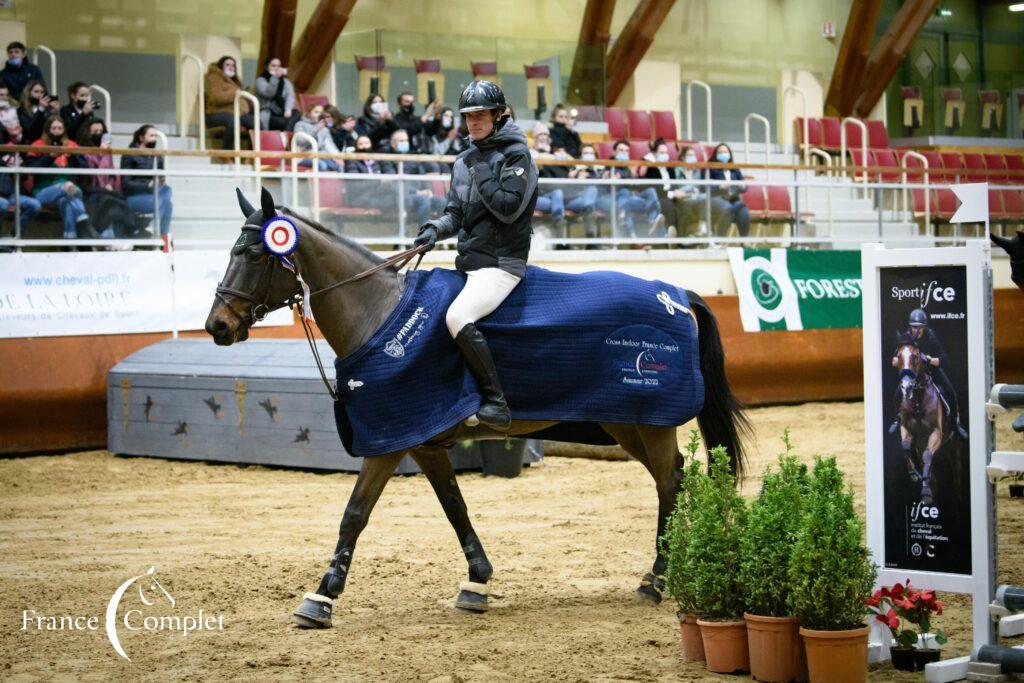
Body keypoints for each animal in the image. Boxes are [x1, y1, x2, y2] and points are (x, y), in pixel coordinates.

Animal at [205, 188, 753, 630]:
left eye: (253, 254)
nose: (217, 326)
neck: (379, 312)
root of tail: (675, 293)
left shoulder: (388, 442)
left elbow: (354, 514)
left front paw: (322, 596)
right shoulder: (423, 441)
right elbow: (454, 506)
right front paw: (477, 581)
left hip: (647, 420)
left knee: (671, 482)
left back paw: (656, 579)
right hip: (625, 425)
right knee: (671, 478)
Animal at [892, 339, 954, 505]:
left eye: (915, 356)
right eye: (899, 356)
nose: (906, 386)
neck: (918, 402)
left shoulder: (936, 432)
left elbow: (927, 456)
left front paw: (926, 493)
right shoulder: (905, 428)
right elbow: (905, 447)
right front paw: (914, 475)